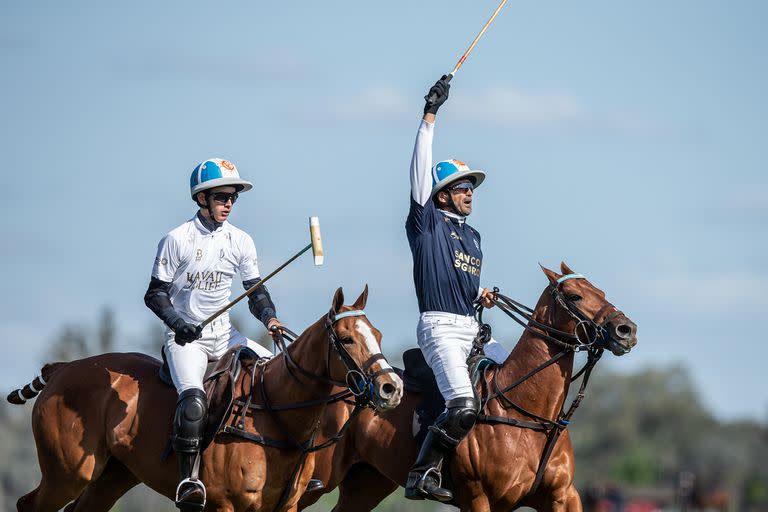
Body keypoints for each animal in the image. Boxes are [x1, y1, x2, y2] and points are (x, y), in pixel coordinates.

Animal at [9, 288, 404, 512]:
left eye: (379, 334)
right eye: (347, 339)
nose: (392, 387)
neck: (274, 415)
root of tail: (62, 369)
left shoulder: (286, 506)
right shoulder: (223, 503)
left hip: (113, 475)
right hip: (68, 472)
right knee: (29, 504)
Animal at [298, 264, 636, 512]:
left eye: (600, 291)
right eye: (575, 296)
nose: (627, 329)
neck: (528, 413)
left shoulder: (563, 496)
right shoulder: (479, 497)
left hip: (368, 482)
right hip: (319, 477)